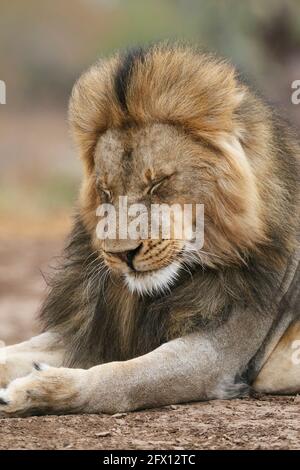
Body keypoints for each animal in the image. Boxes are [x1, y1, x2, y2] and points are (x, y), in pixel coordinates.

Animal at [0, 44, 300, 414]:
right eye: (105, 191)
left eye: (157, 184)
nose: (122, 254)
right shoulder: (98, 331)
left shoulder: (218, 355)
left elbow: (123, 376)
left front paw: (36, 389)